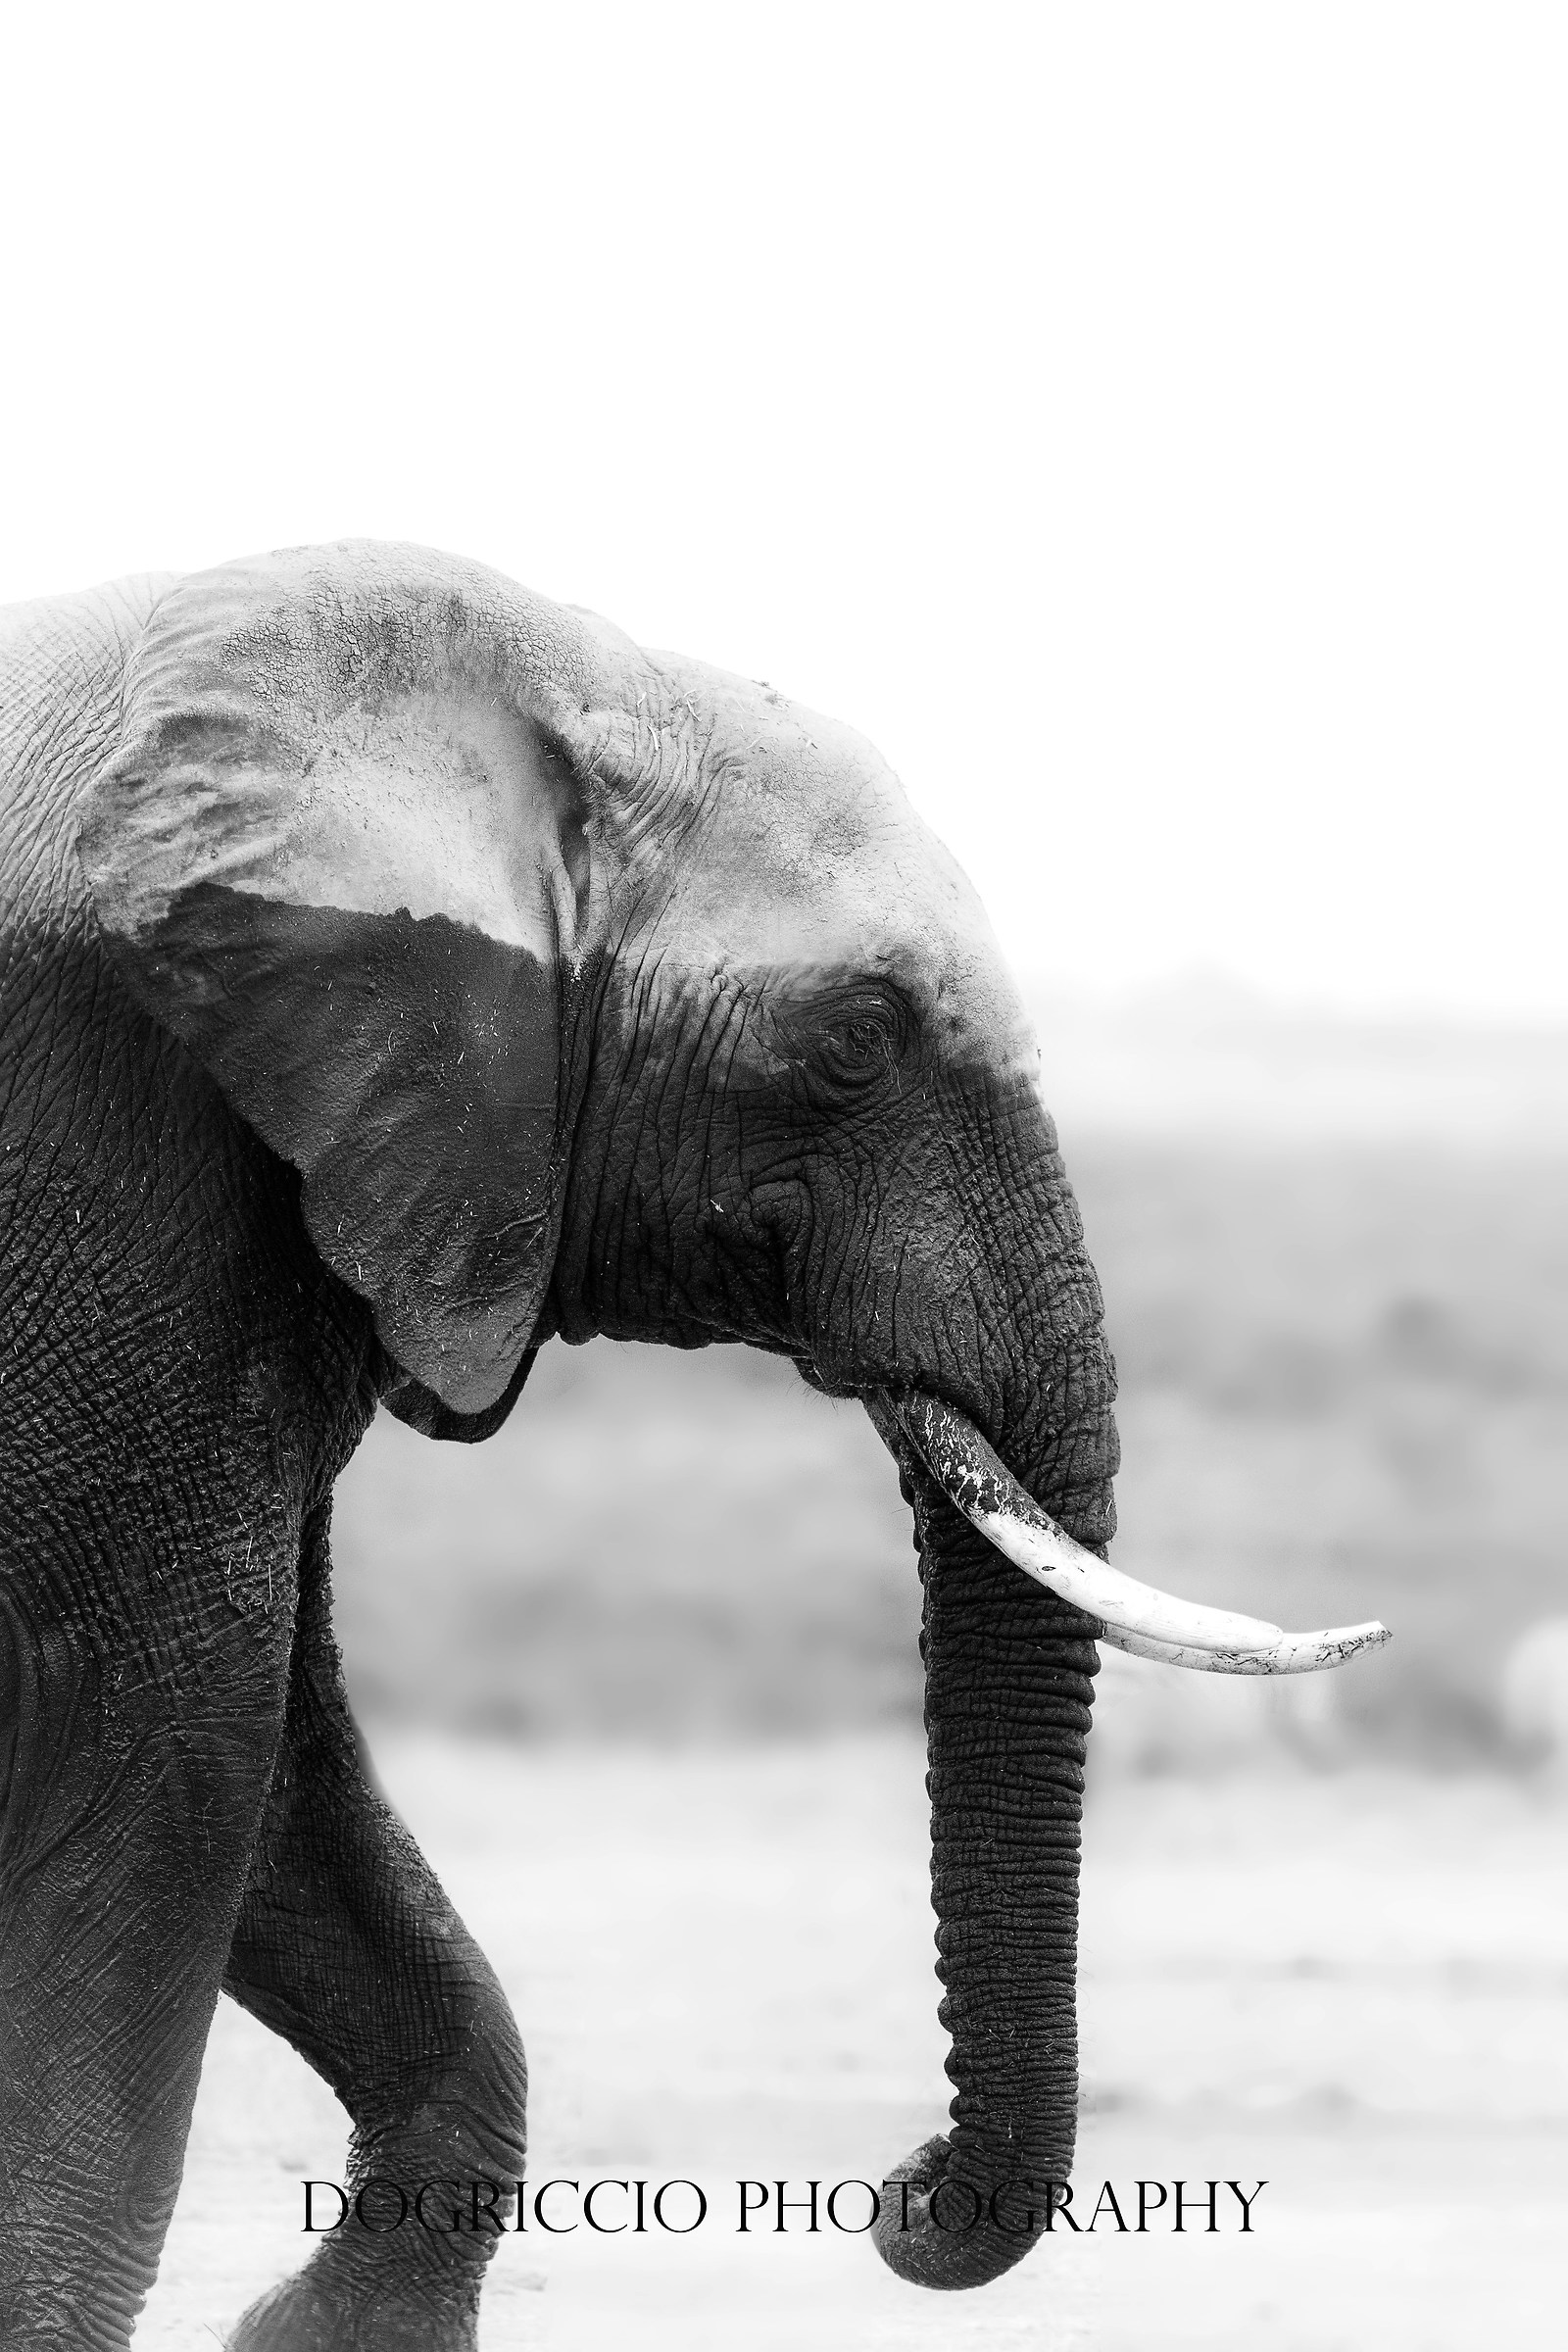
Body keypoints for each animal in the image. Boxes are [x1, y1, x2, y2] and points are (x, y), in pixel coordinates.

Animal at [0, 543, 1387, 2347]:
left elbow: (287, 1766)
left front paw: (316, 2335)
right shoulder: (126, 1158)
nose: (899, 2196)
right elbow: (165, 1743)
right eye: (856, 1039)